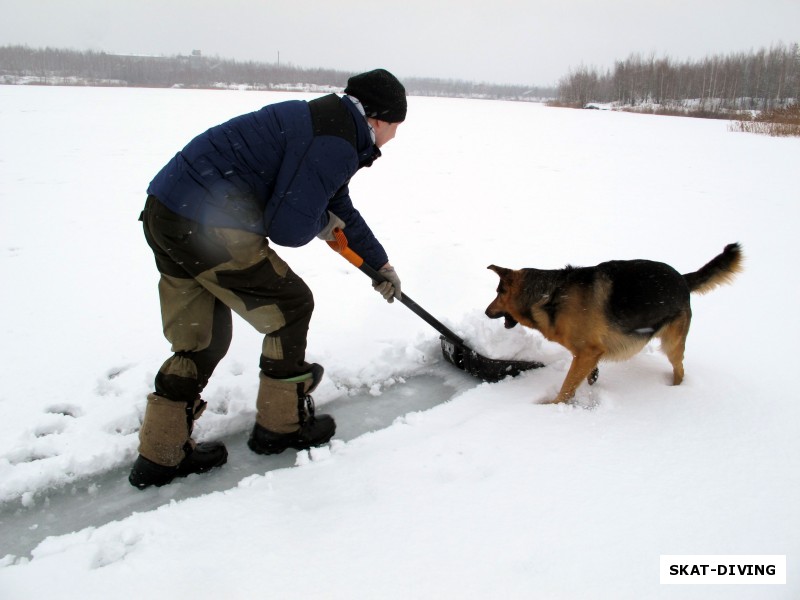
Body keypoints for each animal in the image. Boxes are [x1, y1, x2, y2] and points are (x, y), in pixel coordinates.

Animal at [488, 243, 744, 404]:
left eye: (498, 293)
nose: (486, 312)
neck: (547, 295)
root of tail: (682, 278)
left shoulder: (587, 351)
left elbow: (567, 386)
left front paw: (553, 406)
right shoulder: (588, 354)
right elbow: (585, 376)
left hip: (672, 344)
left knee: (679, 368)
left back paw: (674, 391)